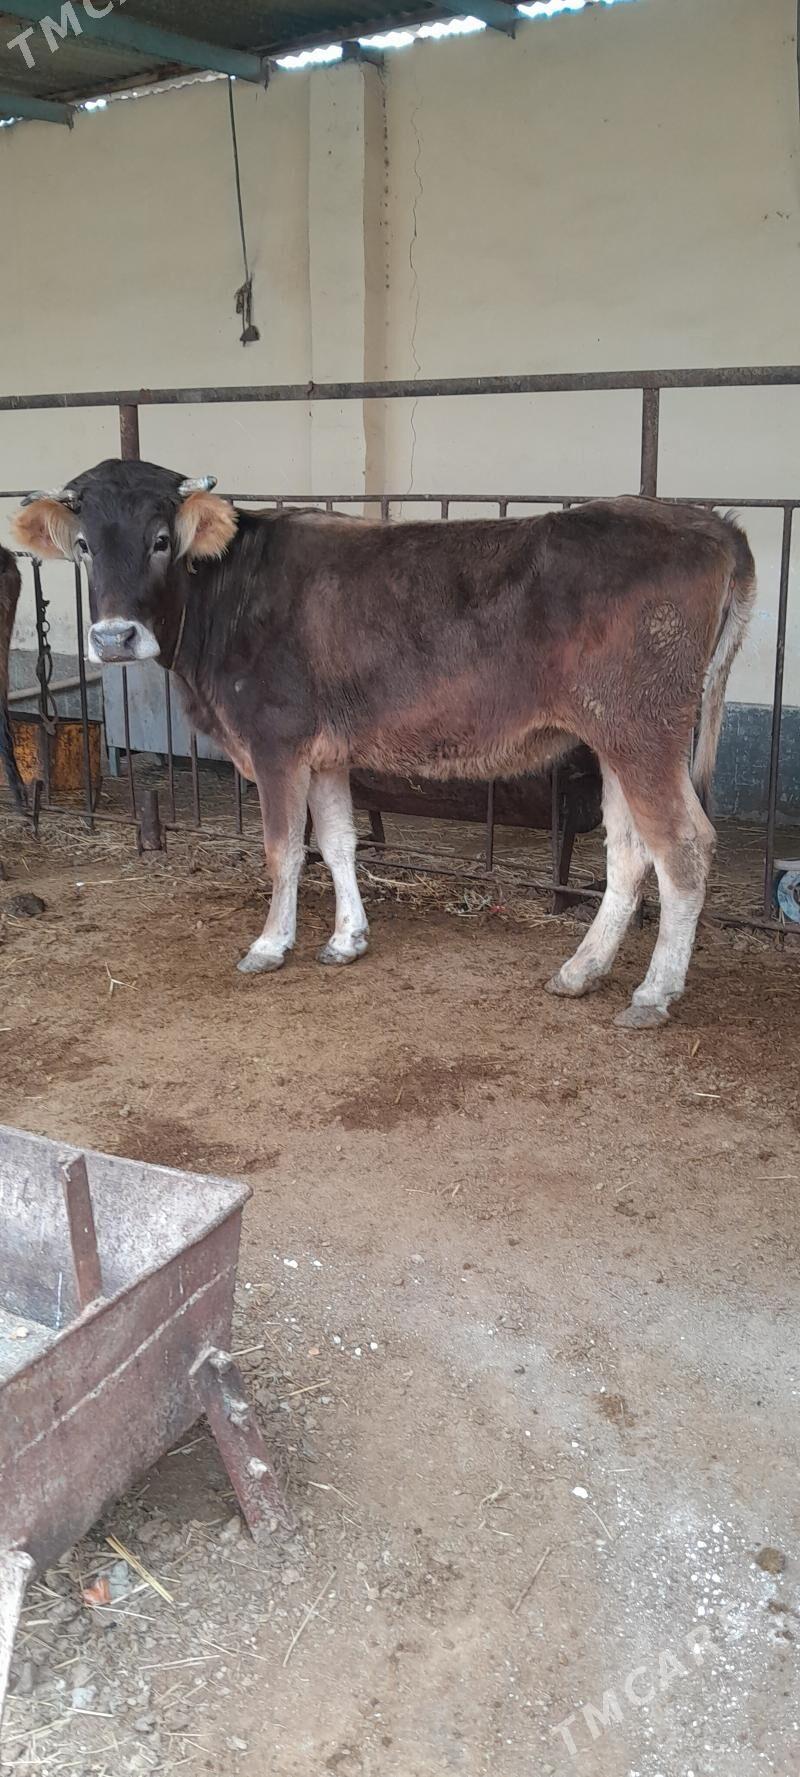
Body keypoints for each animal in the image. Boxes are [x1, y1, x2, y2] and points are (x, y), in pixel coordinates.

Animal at [12, 460, 755, 1029]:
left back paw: (653, 994)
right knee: (629, 851)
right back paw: (582, 969)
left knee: (682, 847)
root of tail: (708, 523)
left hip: (643, 729)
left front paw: (270, 944)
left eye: (163, 539)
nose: (114, 637)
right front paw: (346, 939)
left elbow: (283, 849)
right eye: (84, 545)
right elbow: (339, 841)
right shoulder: (324, 752)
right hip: (612, 737)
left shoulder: (275, 740)